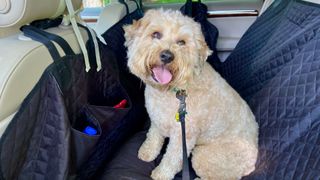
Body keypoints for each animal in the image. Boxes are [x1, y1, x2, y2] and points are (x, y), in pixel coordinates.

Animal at [124, 9, 258, 179]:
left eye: (181, 42)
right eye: (156, 34)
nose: (167, 56)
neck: (174, 90)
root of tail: (251, 165)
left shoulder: (183, 136)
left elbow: (172, 159)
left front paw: (160, 174)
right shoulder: (157, 118)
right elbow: (153, 136)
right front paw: (147, 152)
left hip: (205, 156)